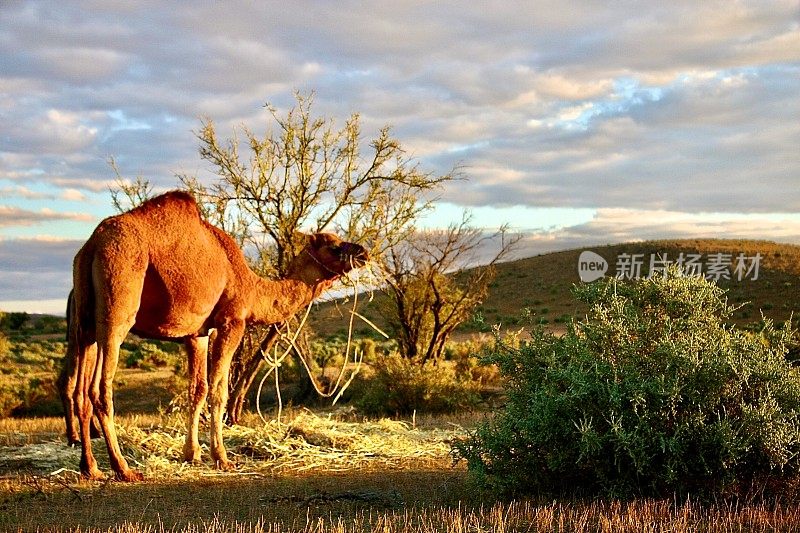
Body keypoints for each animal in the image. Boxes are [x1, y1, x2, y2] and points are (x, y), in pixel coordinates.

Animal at [65, 190, 368, 478]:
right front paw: (222, 458)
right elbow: (218, 390)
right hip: (117, 305)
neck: (252, 287)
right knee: (99, 389)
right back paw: (123, 469)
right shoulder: (232, 322)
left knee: (79, 390)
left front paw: (192, 454)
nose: (363, 252)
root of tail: (92, 245)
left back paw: (90, 467)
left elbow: (197, 390)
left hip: (85, 321)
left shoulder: (196, 333)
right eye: (334, 246)